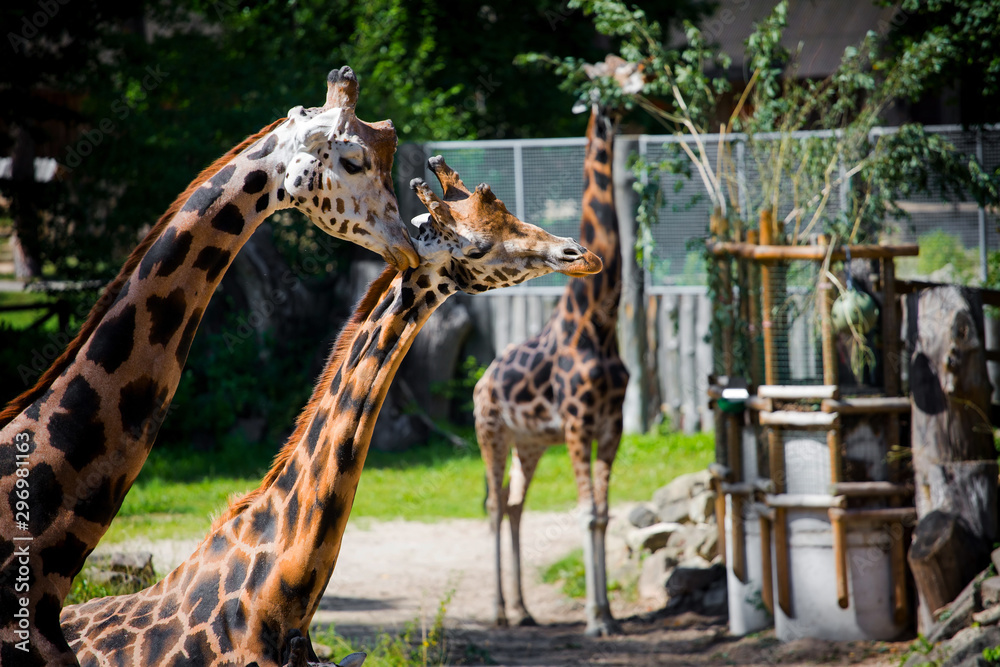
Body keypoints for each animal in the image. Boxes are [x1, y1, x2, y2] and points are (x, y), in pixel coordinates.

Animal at [473, 99, 627, 636]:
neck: (598, 323)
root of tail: (479, 383)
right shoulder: (580, 423)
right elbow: (586, 514)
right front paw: (595, 620)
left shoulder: (611, 425)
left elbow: (603, 513)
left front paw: (609, 615)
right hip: (491, 434)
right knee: (494, 507)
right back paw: (499, 611)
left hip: (531, 443)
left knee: (515, 506)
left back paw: (523, 610)